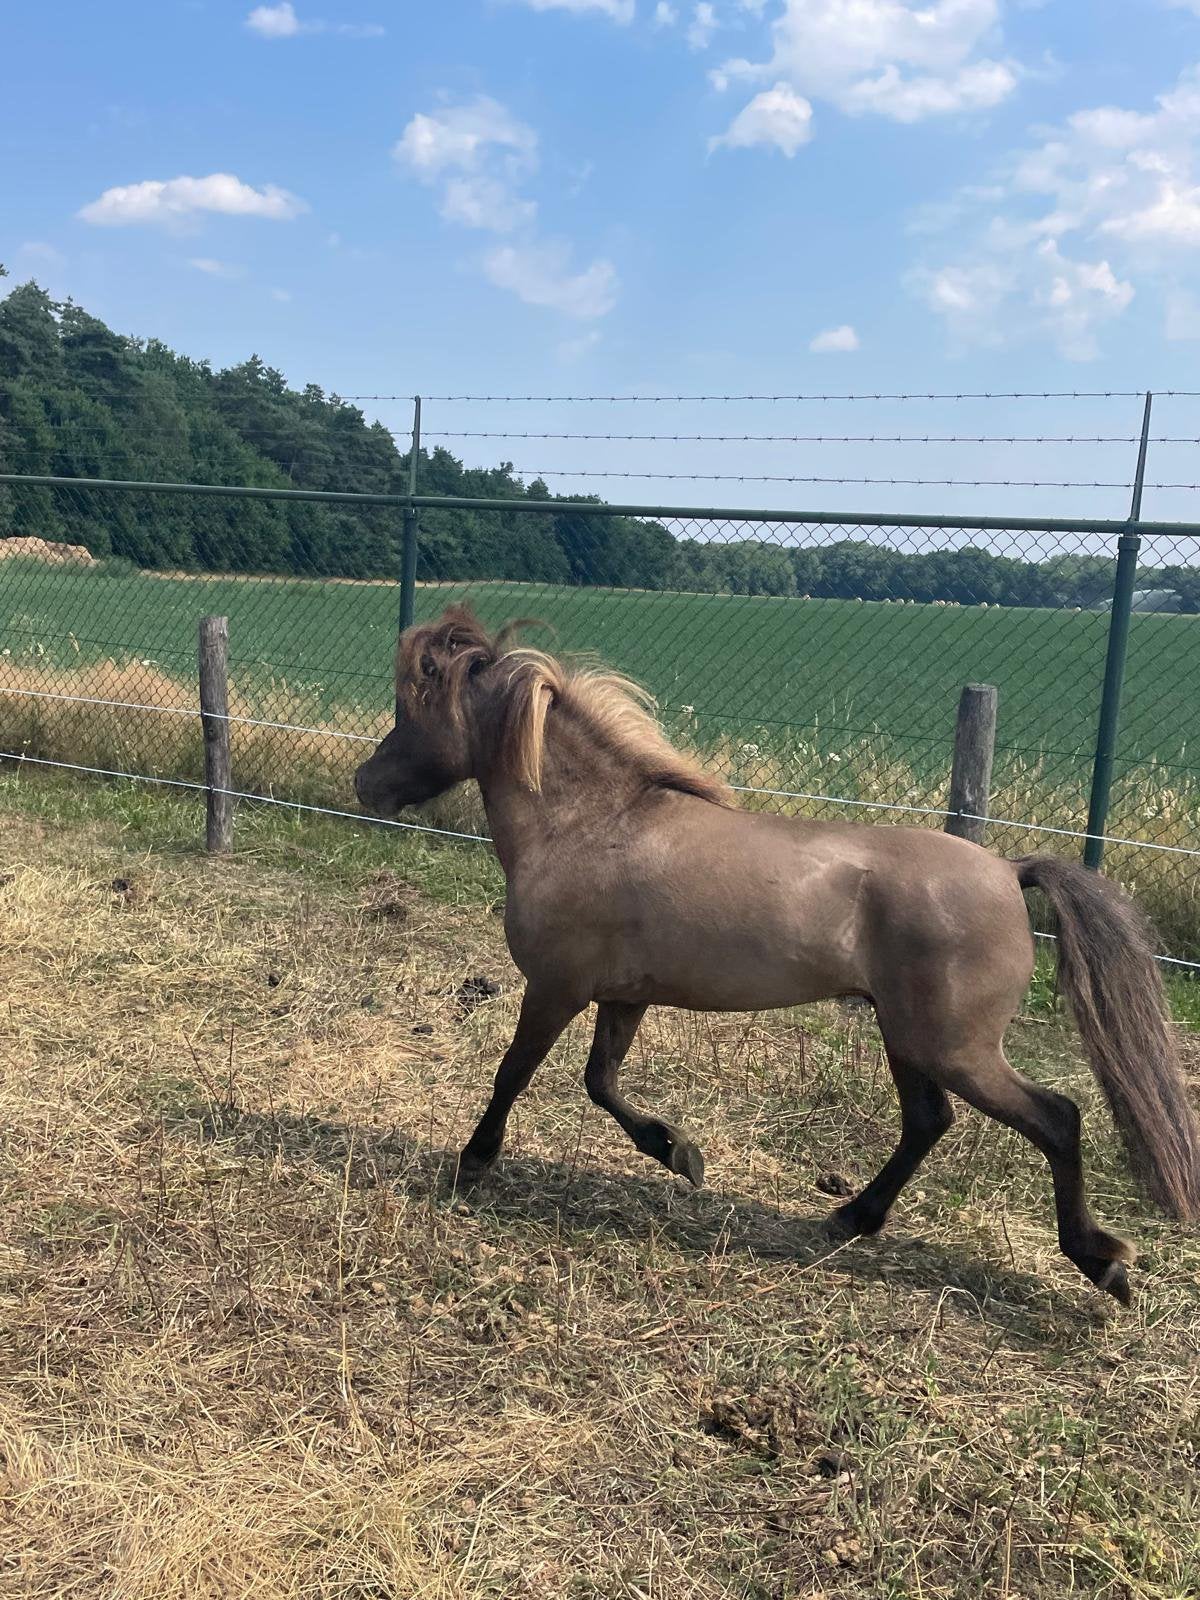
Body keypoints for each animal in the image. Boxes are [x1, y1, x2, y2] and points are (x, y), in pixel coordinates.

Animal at [354, 605, 1200, 1305]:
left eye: (414, 705)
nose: (365, 784)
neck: (592, 825)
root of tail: (1008, 870)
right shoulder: (623, 994)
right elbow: (601, 1083)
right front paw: (679, 1153)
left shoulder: (557, 988)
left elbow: (514, 1073)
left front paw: (473, 1162)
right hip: (907, 1037)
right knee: (928, 1122)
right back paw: (850, 1218)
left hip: (954, 1046)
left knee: (1056, 1119)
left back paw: (1102, 1263)